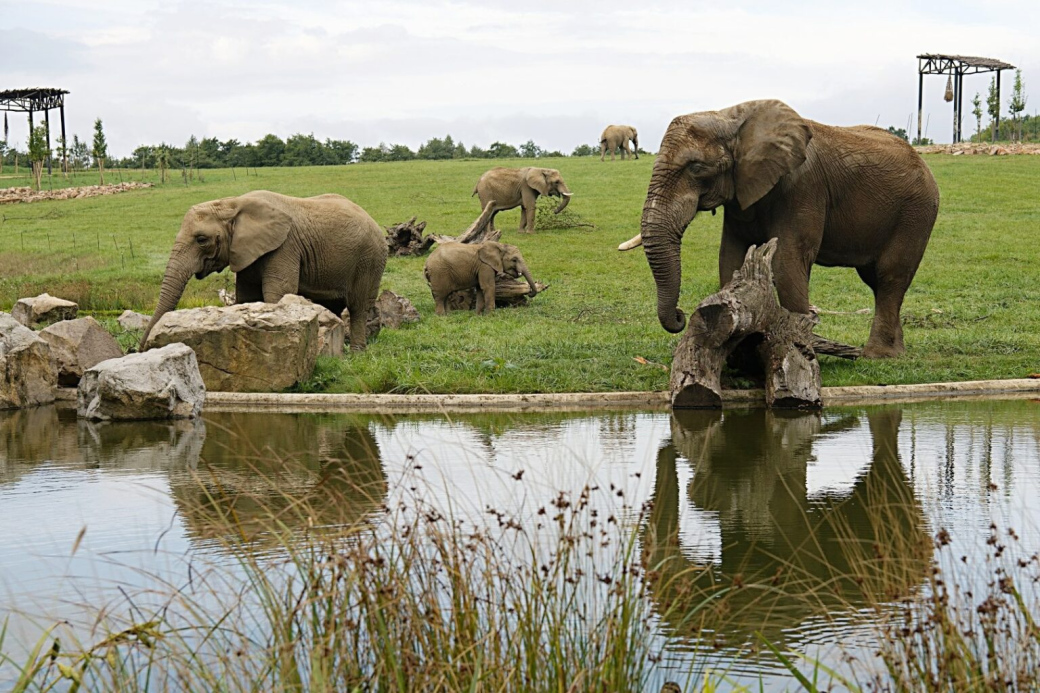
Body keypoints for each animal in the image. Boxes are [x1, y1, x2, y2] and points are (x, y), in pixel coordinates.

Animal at [142, 189, 391, 351]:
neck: (233, 203)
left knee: (358, 306)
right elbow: (247, 296)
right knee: (332, 306)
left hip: (370, 259)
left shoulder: (285, 246)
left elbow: (278, 293)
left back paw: (356, 353)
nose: (141, 349)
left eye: (201, 239)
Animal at [615, 99, 944, 357]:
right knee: (876, 280)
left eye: (696, 168)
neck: (731, 118)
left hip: (917, 212)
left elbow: (786, 262)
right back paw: (894, 353)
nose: (680, 316)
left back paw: (878, 356)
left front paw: (799, 352)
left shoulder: (802, 186)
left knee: (890, 277)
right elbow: (730, 258)